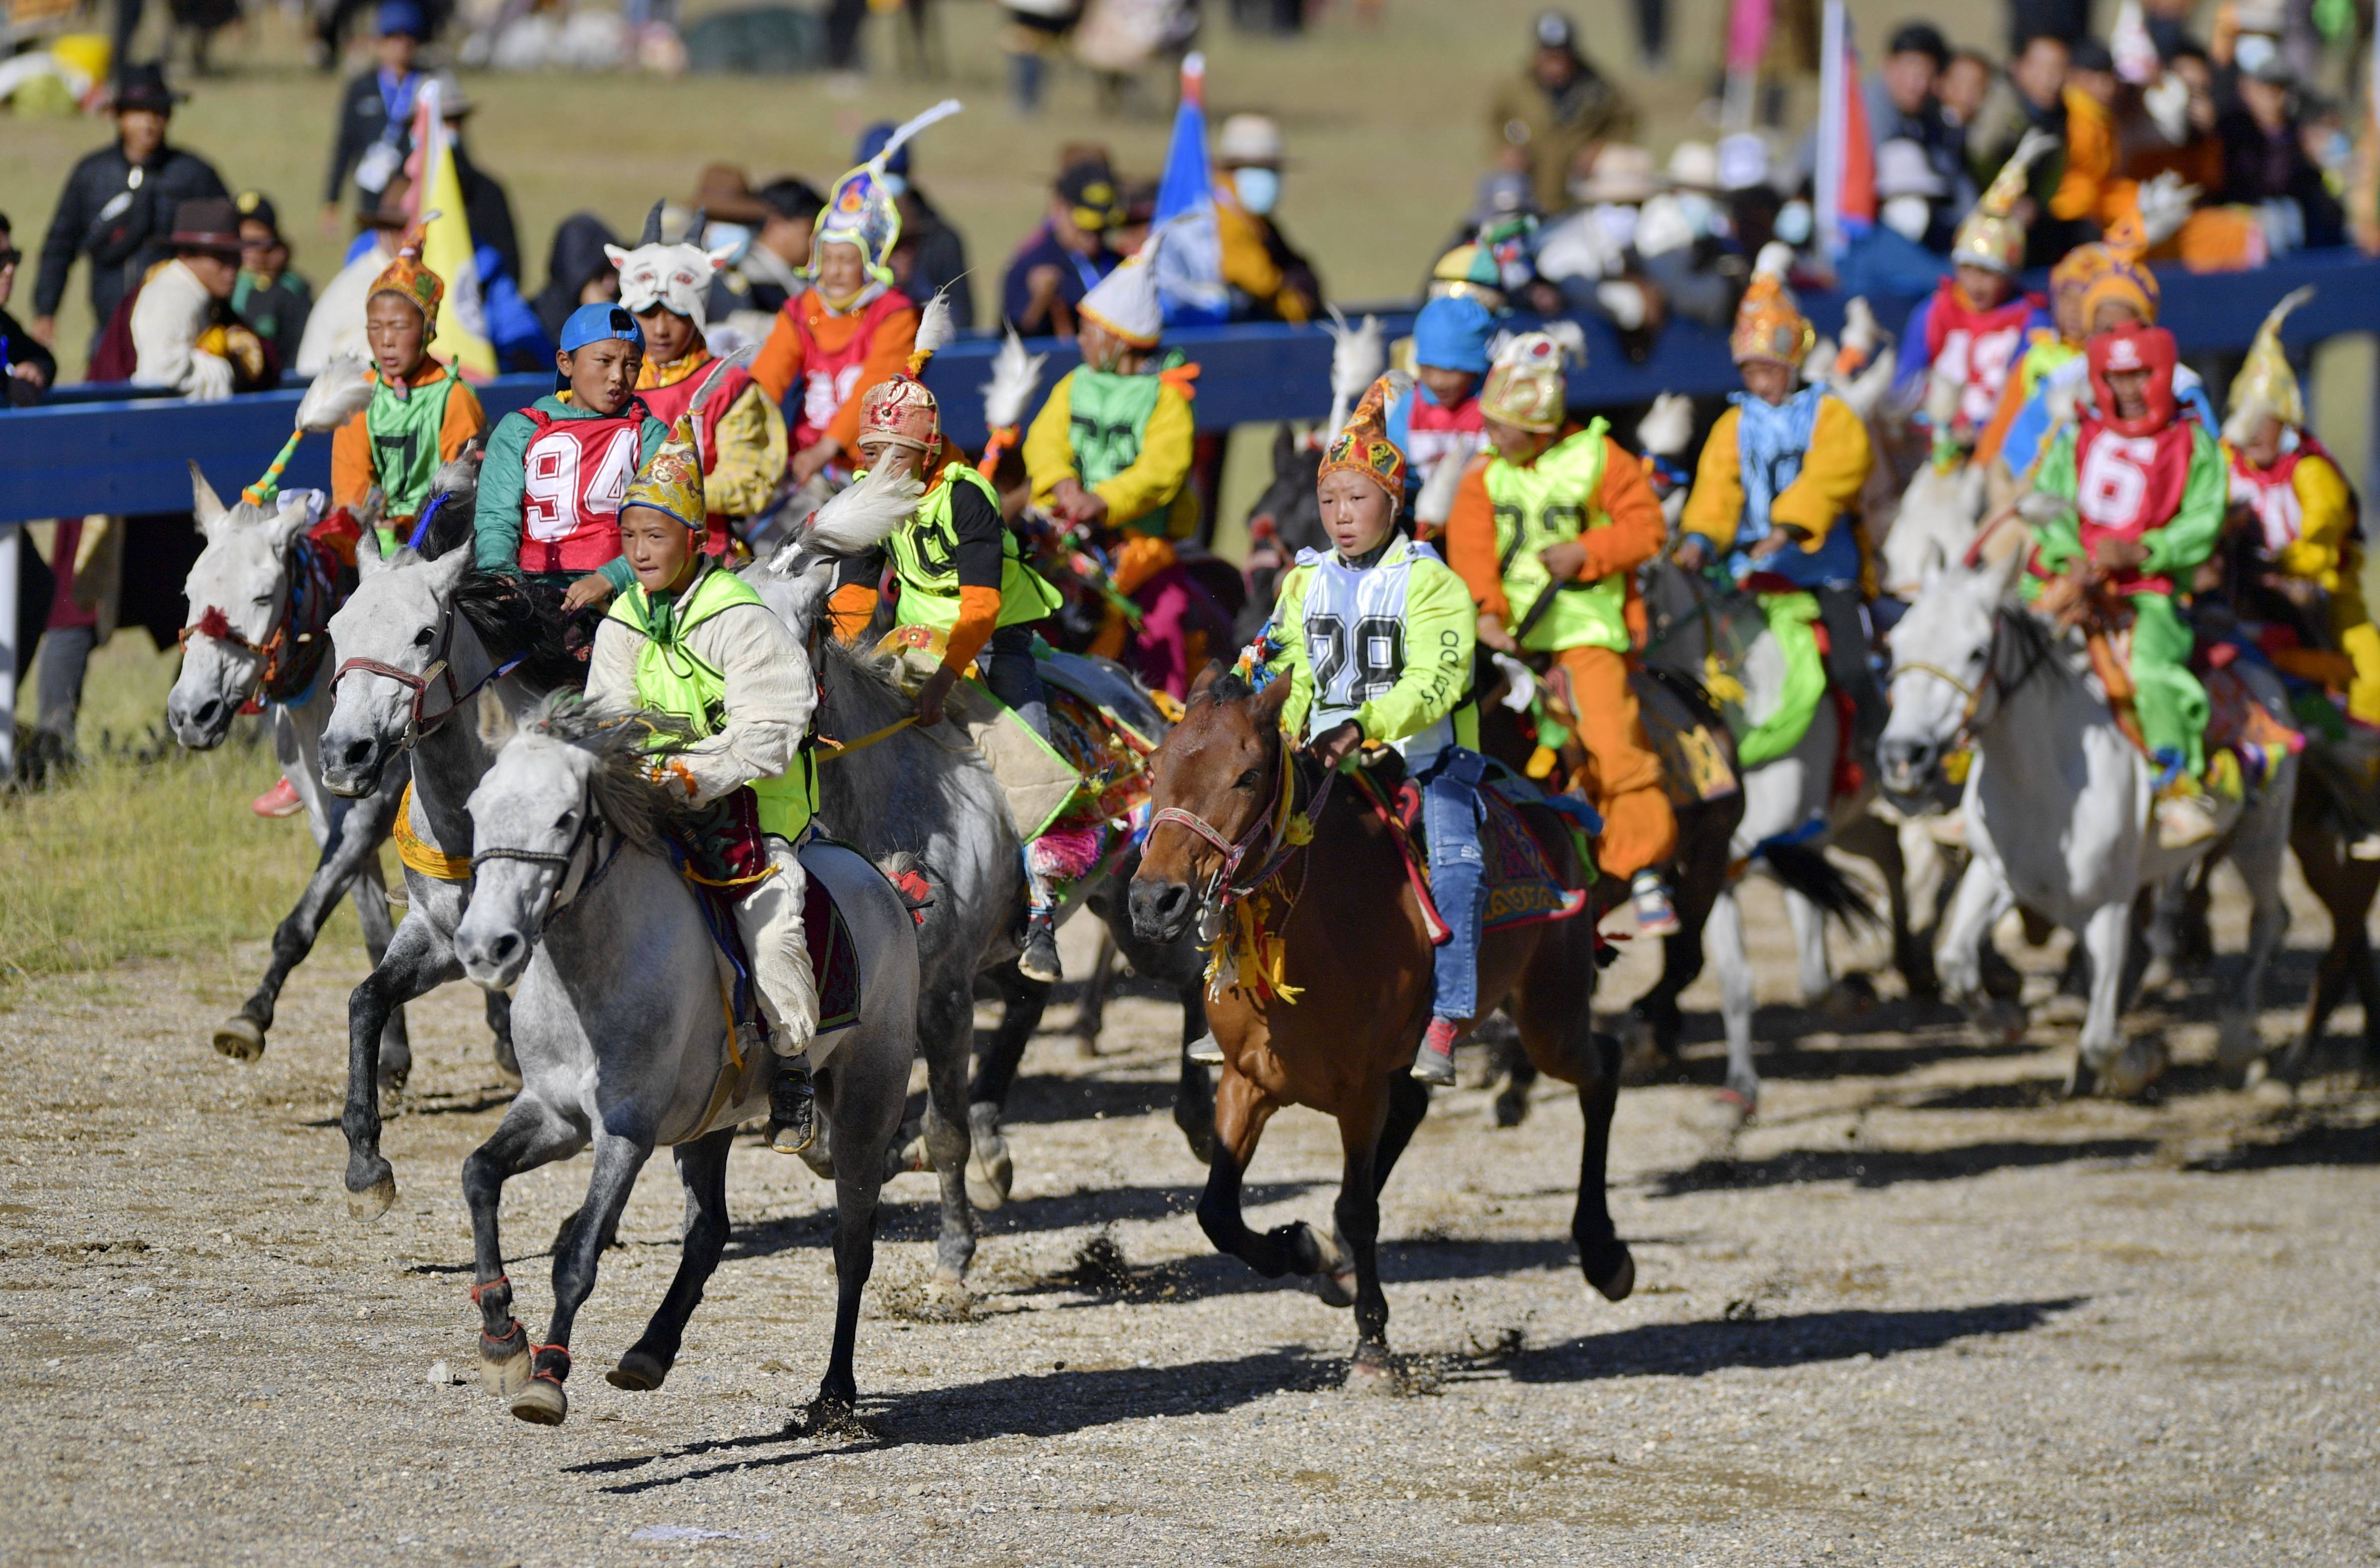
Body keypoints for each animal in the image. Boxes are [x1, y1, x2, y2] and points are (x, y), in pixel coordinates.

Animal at [454, 713, 918, 1437]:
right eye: (476, 810)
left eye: (565, 818)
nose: (486, 947)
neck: (592, 976)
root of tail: (886, 888)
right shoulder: (553, 1116)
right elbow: (479, 1176)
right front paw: (502, 1339)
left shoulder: (626, 1132)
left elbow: (578, 1257)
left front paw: (548, 1377)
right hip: (711, 1124)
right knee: (709, 1232)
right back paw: (649, 1351)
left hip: (869, 1102)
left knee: (851, 1248)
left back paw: (835, 1394)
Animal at [1123, 671, 1628, 1380]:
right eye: (1155, 767)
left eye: (1247, 776)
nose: (1153, 901)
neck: (1316, 923)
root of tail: (1546, 809)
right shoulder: (1248, 1080)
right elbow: (1216, 1212)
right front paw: (1306, 1251)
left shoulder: (1359, 1090)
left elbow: (1357, 1208)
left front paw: (1371, 1340)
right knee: (1417, 1106)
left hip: (1549, 1012)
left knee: (1602, 1066)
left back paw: (1605, 1254)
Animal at [1885, 552, 2294, 1089]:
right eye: (1896, 643)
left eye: (1976, 652)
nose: (1902, 756)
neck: (2040, 784)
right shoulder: (1996, 875)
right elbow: (1954, 962)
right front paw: (2006, 1021)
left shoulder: (2106, 906)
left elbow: (2100, 1041)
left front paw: (2140, 1061)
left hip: (2260, 836)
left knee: (2265, 923)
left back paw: (2240, 1045)